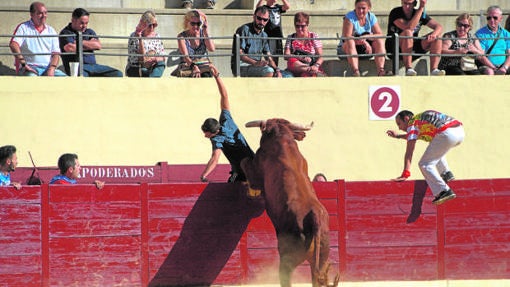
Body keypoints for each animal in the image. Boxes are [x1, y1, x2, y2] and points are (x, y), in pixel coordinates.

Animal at [240, 118, 336, 286]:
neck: (282, 138)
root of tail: (314, 217)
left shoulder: (257, 173)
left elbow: (244, 161)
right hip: (322, 259)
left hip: (287, 260)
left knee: (286, 278)